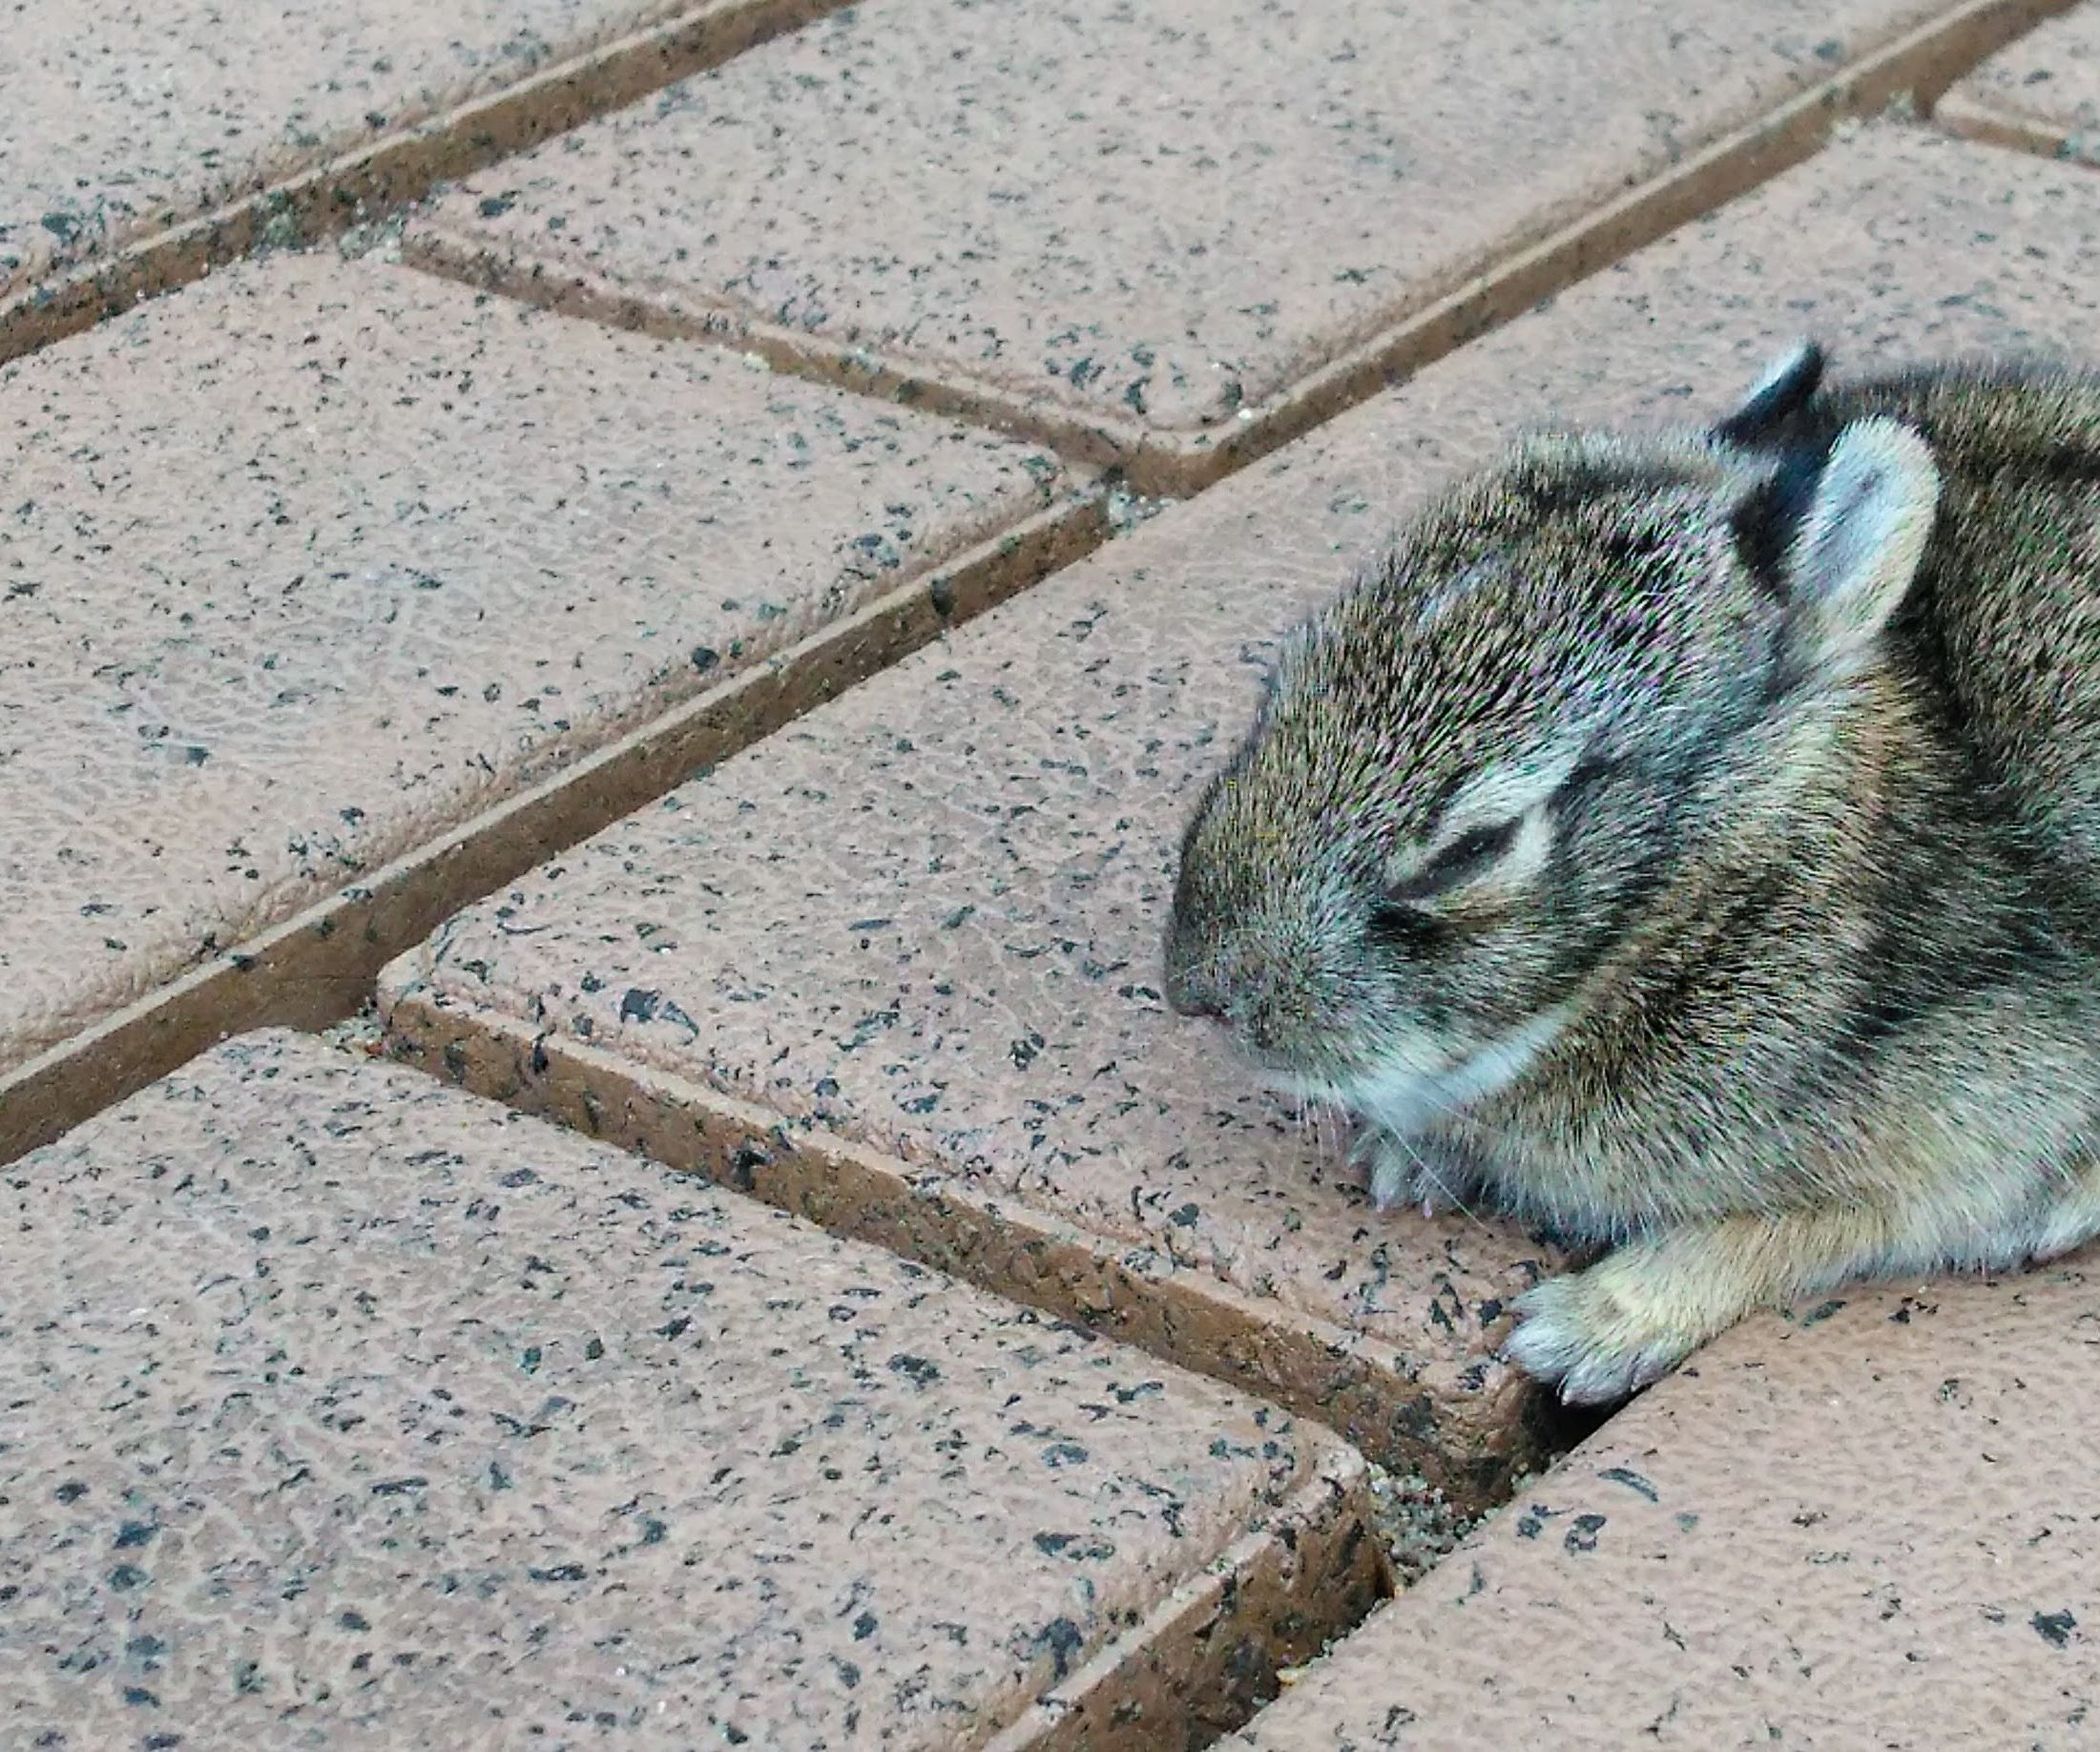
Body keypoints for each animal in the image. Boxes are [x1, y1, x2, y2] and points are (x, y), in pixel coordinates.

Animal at [1161, 339, 2100, 1405]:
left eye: (1473, 849)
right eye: (1280, 684)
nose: (1197, 993)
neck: (1718, 890)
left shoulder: (1974, 1112)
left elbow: (1791, 1230)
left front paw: (1583, 1332)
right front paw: (1408, 1159)